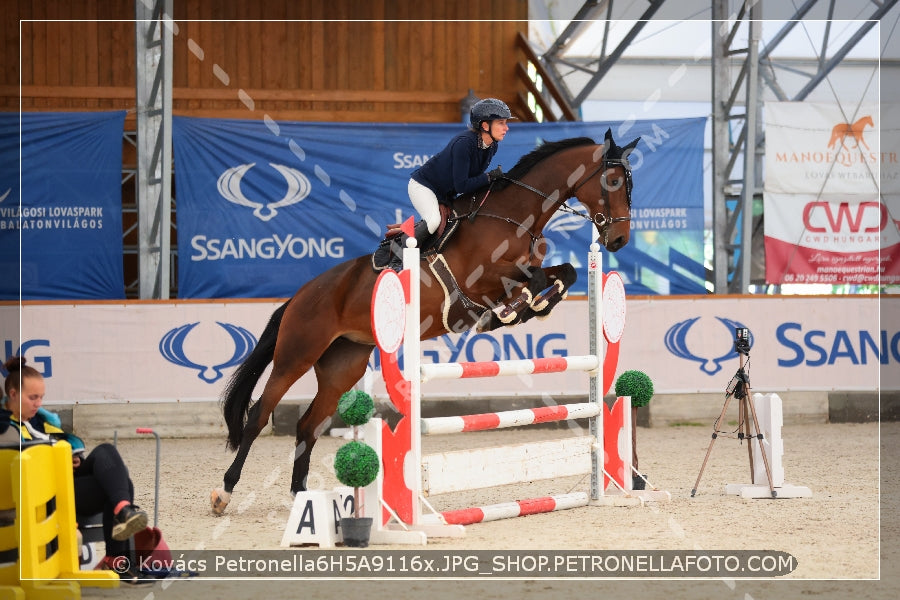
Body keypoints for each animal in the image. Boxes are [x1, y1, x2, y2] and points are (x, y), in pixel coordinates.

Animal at [211, 129, 640, 512]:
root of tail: (299, 296)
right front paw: (508, 311)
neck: (514, 215)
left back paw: (302, 497)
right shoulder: (483, 276)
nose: (619, 241)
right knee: (258, 416)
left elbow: (564, 272)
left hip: (342, 365)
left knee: (307, 426)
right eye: (613, 180)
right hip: (297, 354)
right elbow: (529, 279)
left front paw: (532, 306)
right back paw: (224, 493)